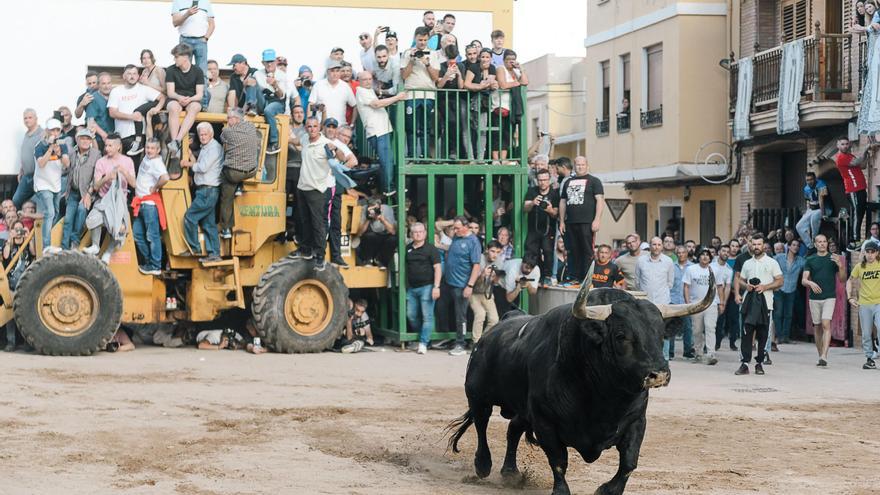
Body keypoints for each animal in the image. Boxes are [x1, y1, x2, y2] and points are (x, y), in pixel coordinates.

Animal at [446, 272, 716, 495]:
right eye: (621, 335)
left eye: (660, 334)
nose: (658, 374)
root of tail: (491, 332)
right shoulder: (545, 422)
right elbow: (558, 461)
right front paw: (561, 491)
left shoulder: (637, 421)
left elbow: (629, 462)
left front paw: (608, 490)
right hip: (478, 395)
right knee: (481, 424)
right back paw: (483, 465)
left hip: (522, 409)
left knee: (512, 429)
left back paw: (510, 472)